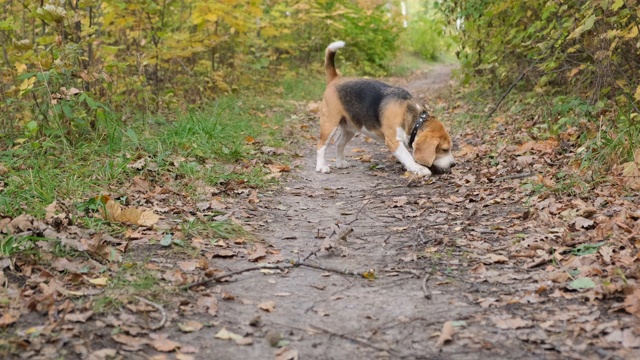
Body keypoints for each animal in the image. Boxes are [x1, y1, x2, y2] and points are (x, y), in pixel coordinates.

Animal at [316, 40, 456, 176]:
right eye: (444, 149)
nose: (453, 164)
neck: (415, 119)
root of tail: (335, 79)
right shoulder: (394, 141)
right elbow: (407, 156)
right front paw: (419, 168)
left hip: (350, 127)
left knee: (339, 143)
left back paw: (340, 162)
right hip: (329, 124)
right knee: (321, 146)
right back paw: (321, 167)